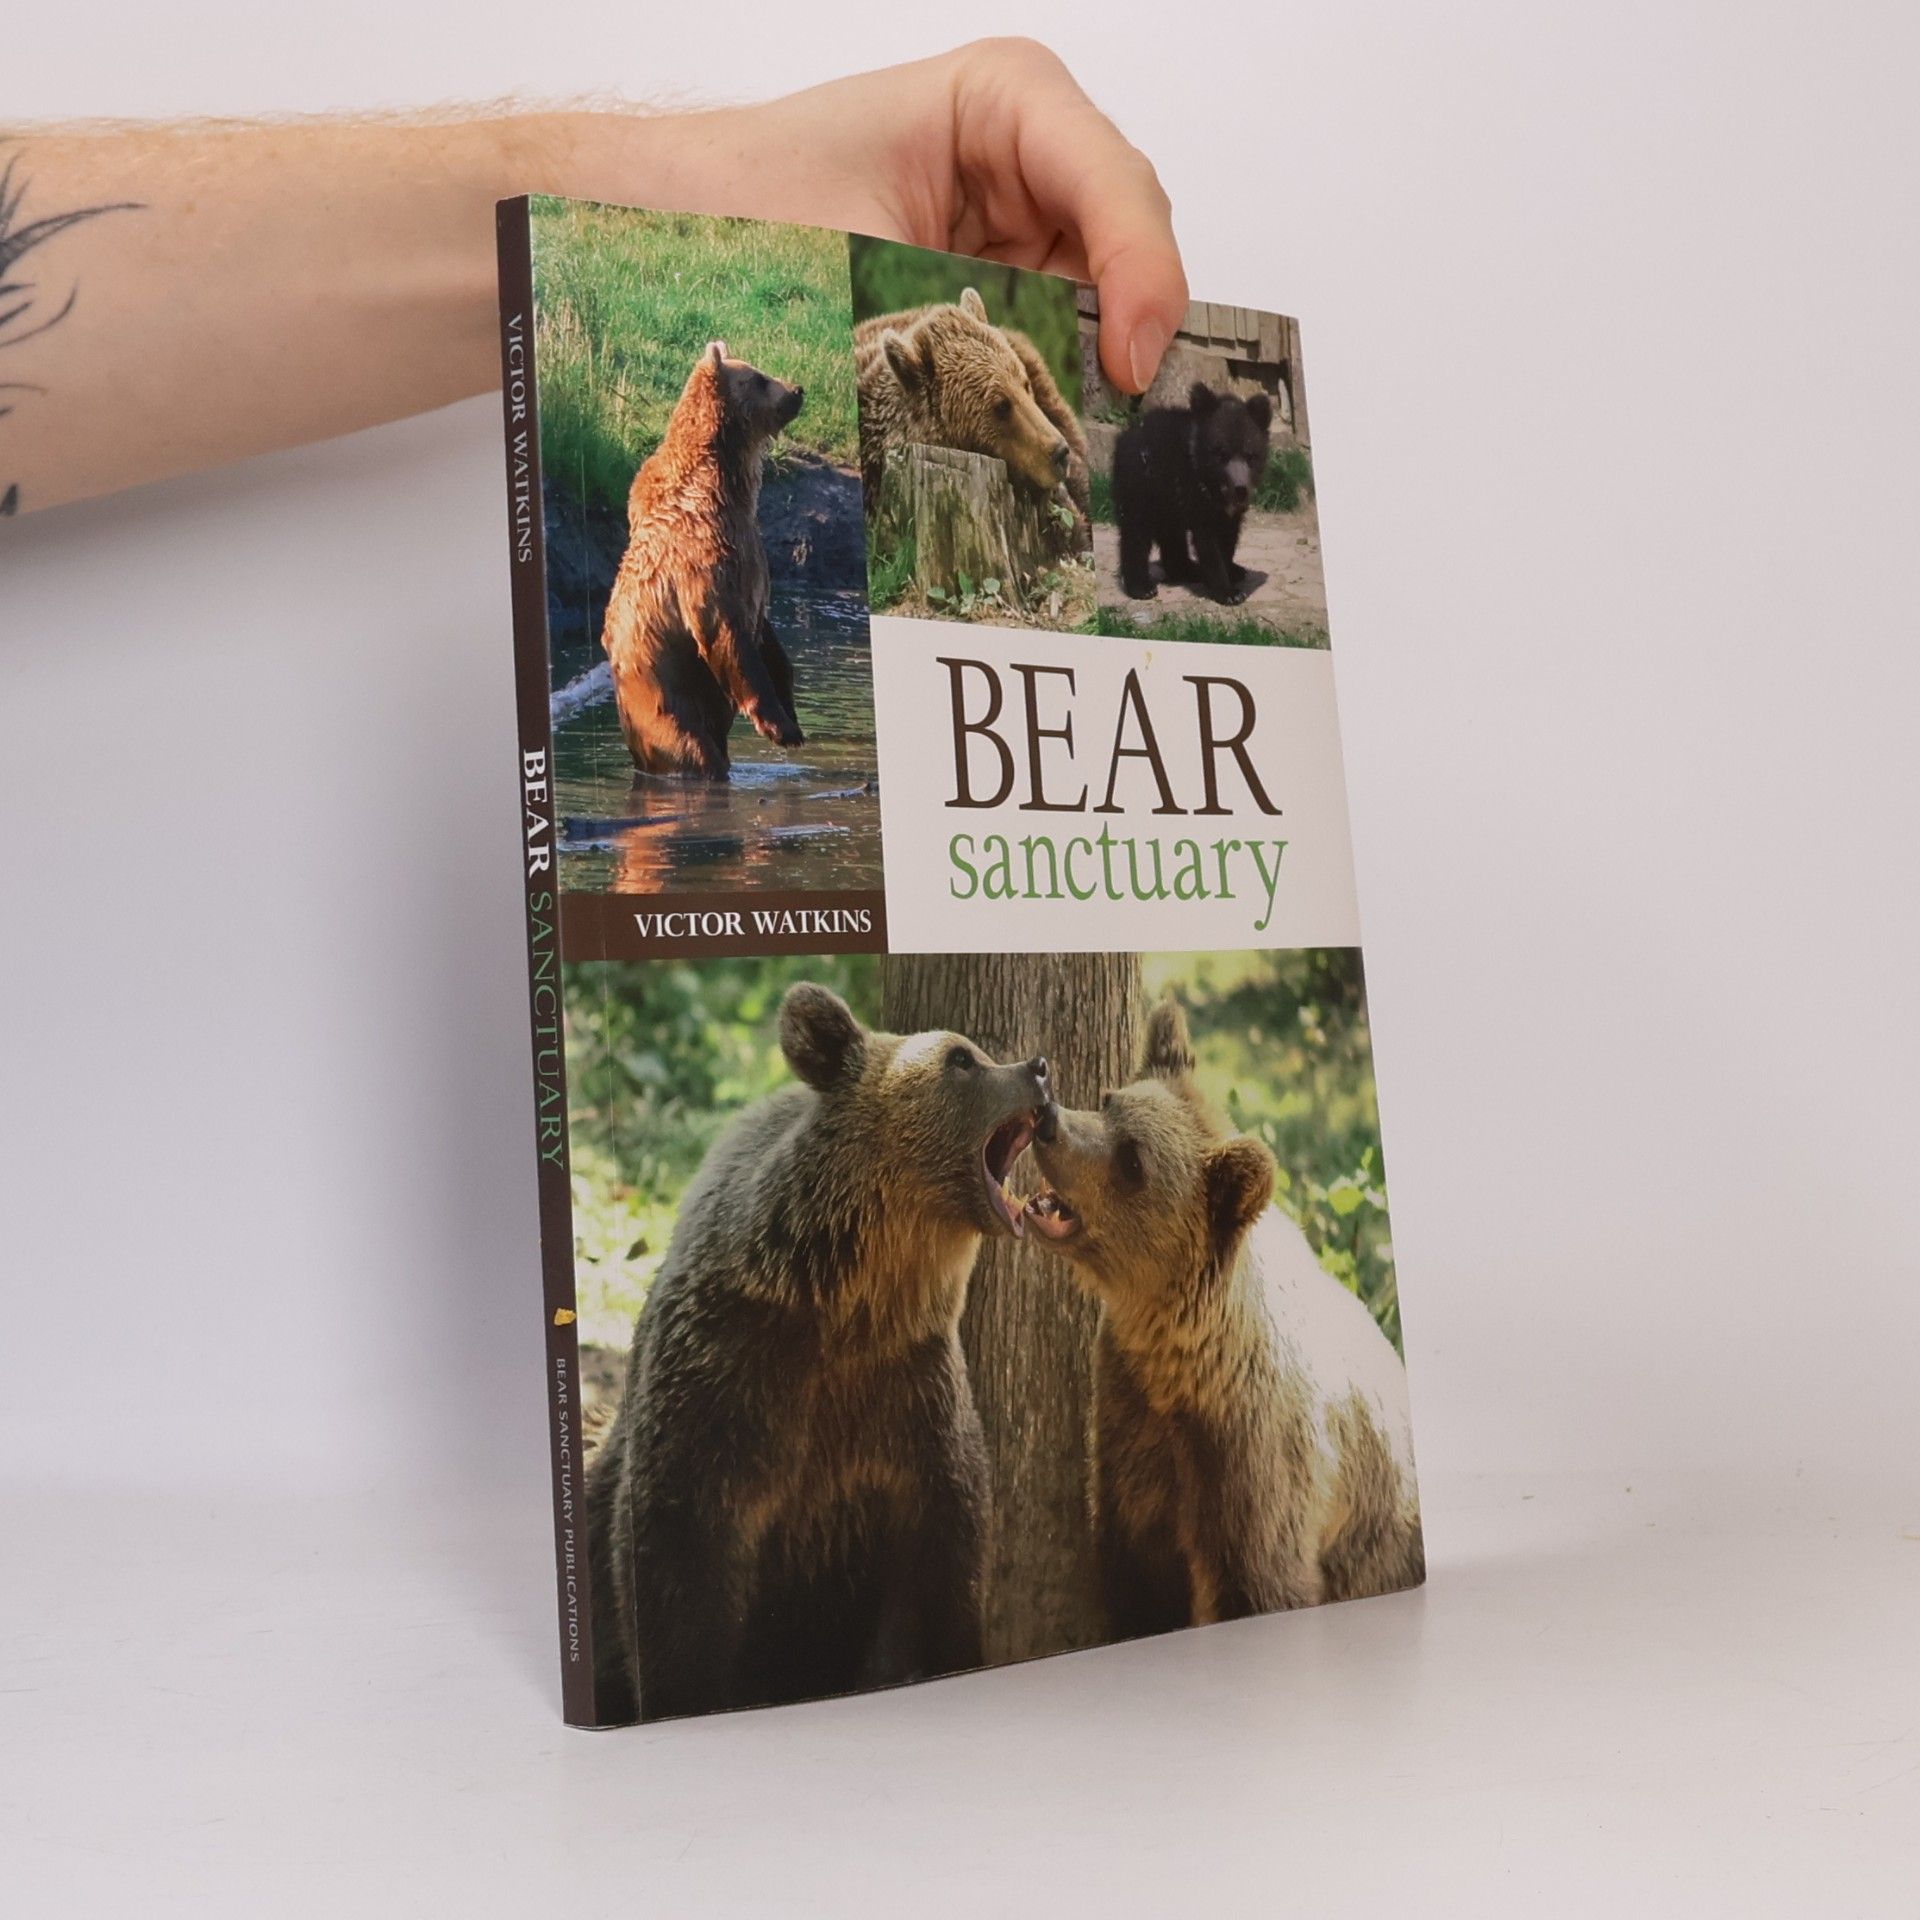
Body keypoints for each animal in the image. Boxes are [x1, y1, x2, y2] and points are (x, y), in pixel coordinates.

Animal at [586, 983, 1055, 1723]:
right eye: (962, 1058)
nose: (1038, 1067)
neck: (848, 1304)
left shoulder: (911, 1398)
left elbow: (945, 1557)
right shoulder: (723, 1383)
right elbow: (677, 1567)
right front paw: (686, 1696)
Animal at [599, 341, 806, 780]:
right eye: (758, 378)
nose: (797, 390)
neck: (724, 482)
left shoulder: (749, 553)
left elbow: (765, 632)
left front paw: (792, 717)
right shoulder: (702, 559)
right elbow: (727, 634)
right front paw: (779, 726)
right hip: (663, 705)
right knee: (693, 750)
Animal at [1022, 998, 1422, 1640]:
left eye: (1132, 1160)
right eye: (1109, 1098)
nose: (1049, 1121)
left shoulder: (1253, 1467)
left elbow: (1259, 1582)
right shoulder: (1129, 1422)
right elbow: (1135, 1573)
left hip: (1381, 1544)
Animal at [1112, 383, 1273, 605]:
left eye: (1250, 455)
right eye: (1221, 454)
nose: (1240, 489)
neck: (1215, 488)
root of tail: (1124, 436)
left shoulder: (1227, 511)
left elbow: (1229, 535)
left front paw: (1232, 571)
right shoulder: (1195, 495)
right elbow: (1208, 542)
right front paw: (1229, 592)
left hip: (1167, 499)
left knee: (1171, 535)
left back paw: (1187, 569)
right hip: (1141, 485)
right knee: (1136, 532)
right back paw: (1142, 587)